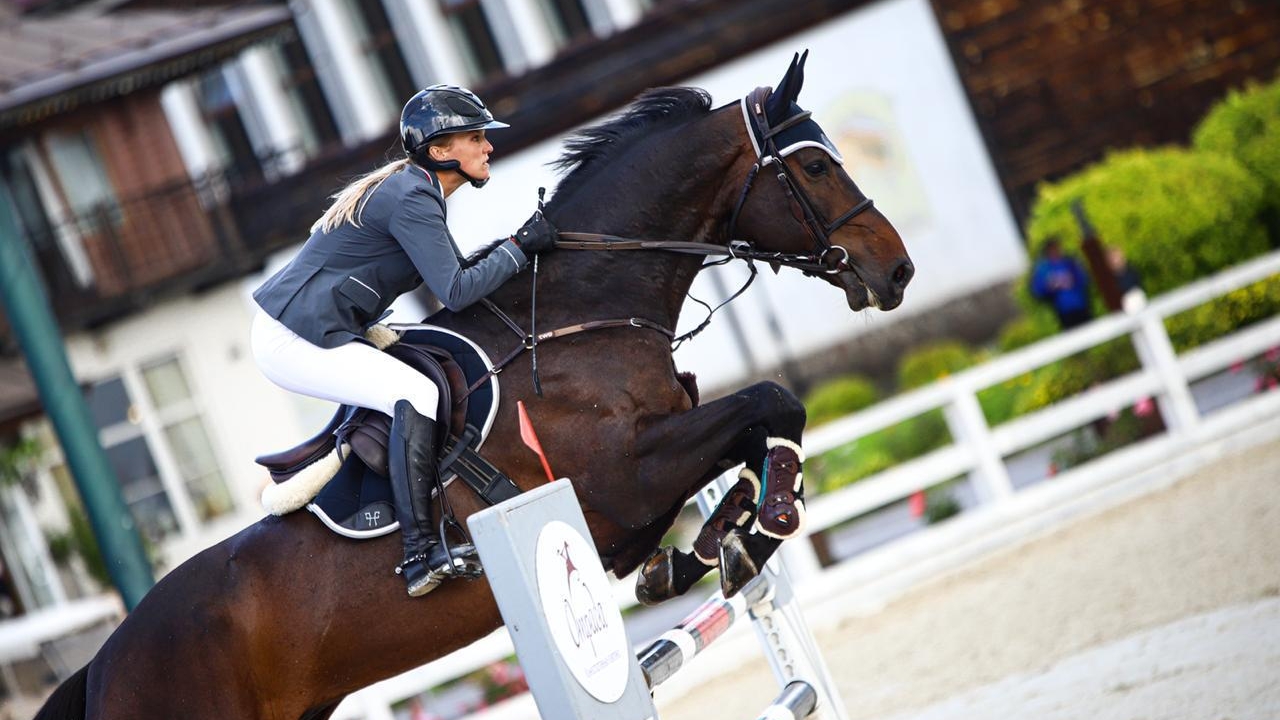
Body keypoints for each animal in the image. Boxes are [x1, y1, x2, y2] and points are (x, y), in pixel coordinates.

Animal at [37, 54, 911, 717]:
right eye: (815, 165)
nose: (896, 271)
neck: (578, 311)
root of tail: (104, 664)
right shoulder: (622, 476)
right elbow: (771, 401)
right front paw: (763, 524)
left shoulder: (654, 467)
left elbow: (753, 435)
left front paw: (709, 548)